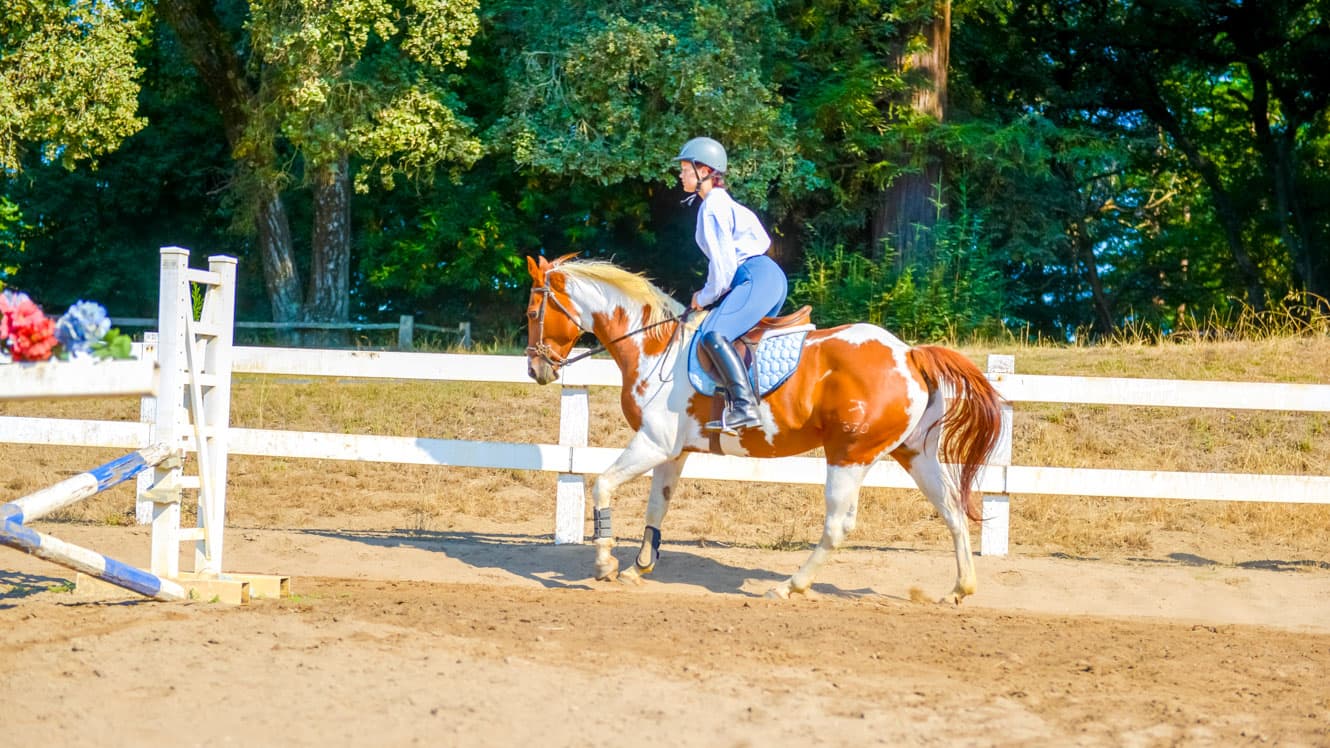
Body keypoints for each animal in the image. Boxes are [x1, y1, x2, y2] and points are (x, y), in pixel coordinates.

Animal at [524, 252, 1000, 601]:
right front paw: (639, 566)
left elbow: (602, 484)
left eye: (532, 311)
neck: (653, 345)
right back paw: (960, 588)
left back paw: (790, 587)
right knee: (952, 509)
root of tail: (909, 354)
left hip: (848, 455)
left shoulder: (653, 443)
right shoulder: (672, 451)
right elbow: (657, 507)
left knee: (837, 526)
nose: (535, 370)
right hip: (914, 453)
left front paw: (605, 564)